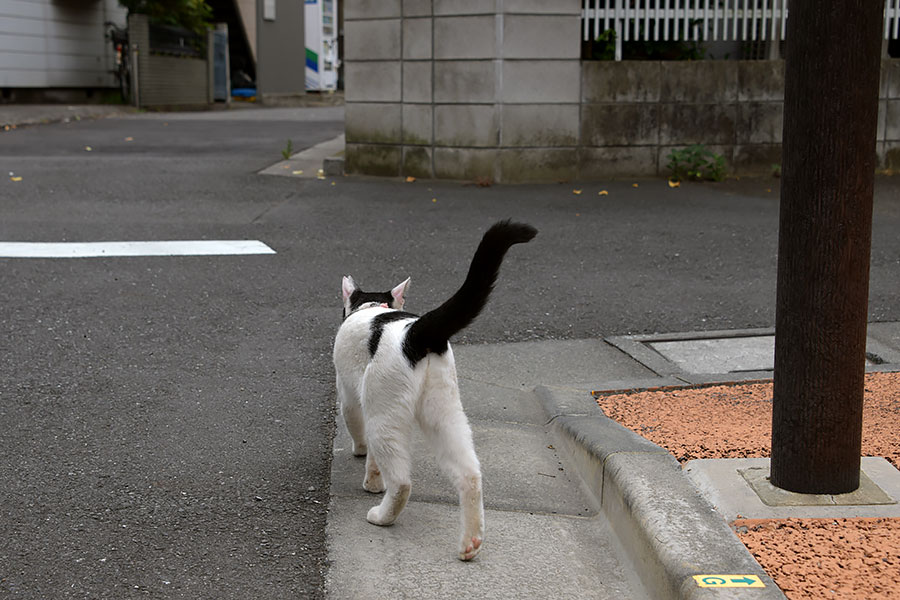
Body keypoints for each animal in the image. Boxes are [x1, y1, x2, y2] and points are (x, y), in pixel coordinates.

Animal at [334, 221, 536, 564]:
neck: (372, 307)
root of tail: (417, 332)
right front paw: (373, 478)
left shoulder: (349, 396)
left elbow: (358, 434)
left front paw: (366, 470)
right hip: (445, 411)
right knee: (470, 474)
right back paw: (470, 544)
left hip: (383, 414)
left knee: (402, 481)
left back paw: (382, 515)